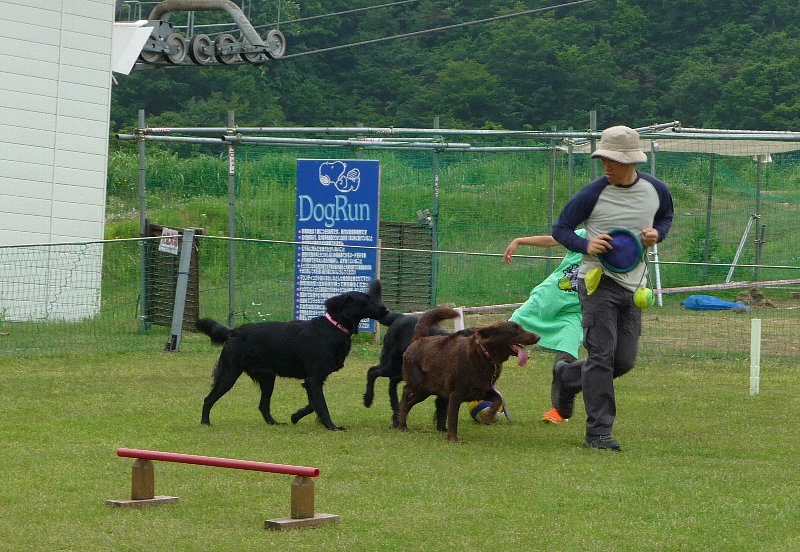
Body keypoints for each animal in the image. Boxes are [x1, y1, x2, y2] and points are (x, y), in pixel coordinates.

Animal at [196, 279, 388, 430]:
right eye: (365, 301)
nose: (386, 310)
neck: (335, 328)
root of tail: (234, 331)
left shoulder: (313, 380)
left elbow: (313, 405)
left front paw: (295, 416)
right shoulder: (313, 379)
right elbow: (322, 405)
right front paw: (332, 427)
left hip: (268, 377)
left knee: (262, 406)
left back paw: (274, 423)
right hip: (229, 374)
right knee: (207, 399)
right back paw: (205, 423)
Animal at [398, 306, 539, 442]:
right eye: (515, 329)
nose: (538, 337)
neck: (485, 355)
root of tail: (418, 338)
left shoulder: (482, 390)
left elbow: (498, 399)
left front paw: (488, 417)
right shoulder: (455, 395)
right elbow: (453, 419)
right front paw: (453, 439)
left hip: (425, 391)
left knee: (409, 401)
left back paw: (400, 422)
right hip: (419, 385)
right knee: (405, 393)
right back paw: (402, 425)